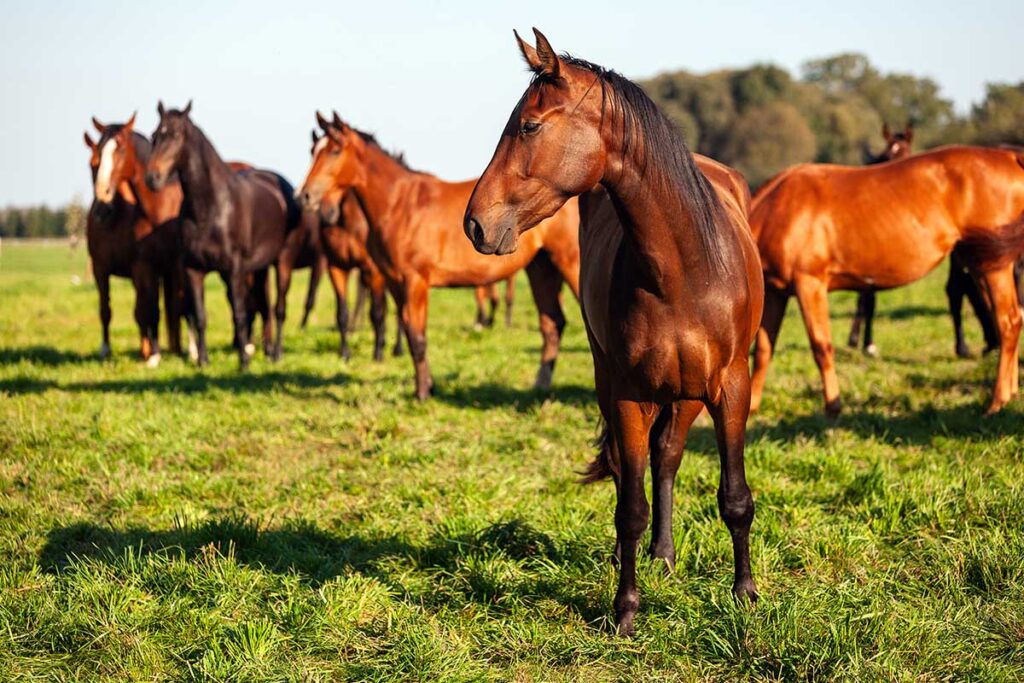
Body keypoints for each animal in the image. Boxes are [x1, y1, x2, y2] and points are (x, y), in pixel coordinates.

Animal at [146, 100, 301, 368]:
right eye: (154, 136)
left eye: (176, 136)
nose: (152, 178)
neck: (211, 208)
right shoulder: (193, 270)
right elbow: (200, 316)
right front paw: (203, 361)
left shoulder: (234, 270)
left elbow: (239, 313)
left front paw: (244, 362)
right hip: (259, 269)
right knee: (264, 307)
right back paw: (268, 350)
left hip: (283, 261)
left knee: (278, 308)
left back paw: (277, 354)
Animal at [299, 112, 585, 401]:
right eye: (312, 151)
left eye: (335, 151)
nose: (306, 196)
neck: (399, 205)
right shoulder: (395, 282)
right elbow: (409, 332)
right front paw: (425, 385)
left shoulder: (415, 282)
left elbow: (417, 337)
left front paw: (423, 393)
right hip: (542, 267)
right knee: (553, 323)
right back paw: (541, 386)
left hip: (569, 263)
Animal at [464, 29, 761, 638]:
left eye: (529, 126)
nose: (475, 224)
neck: (686, 268)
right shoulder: (627, 394)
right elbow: (630, 507)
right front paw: (626, 608)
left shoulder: (730, 387)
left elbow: (734, 497)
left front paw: (744, 594)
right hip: (620, 384)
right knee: (638, 469)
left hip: (687, 394)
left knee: (667, 456)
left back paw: (664, 556)